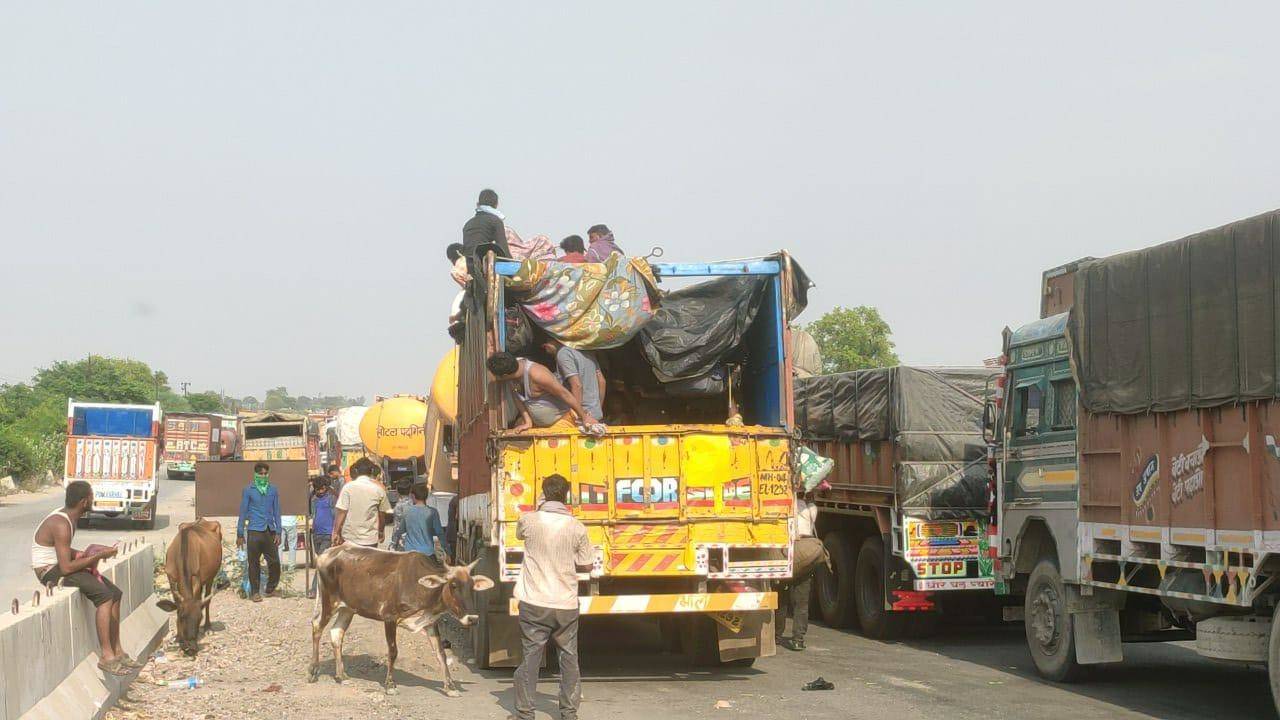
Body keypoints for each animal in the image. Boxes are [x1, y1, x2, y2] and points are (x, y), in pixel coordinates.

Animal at [155, 517, 224, 653]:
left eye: (199, 618)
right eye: (182, 616)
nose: (191, 647)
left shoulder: (197, 578)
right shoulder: (170, 576)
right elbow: (176, 602)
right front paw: (177, 636)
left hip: (212, 575)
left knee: (207, 599)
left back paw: (208, 628)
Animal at [307, 545, 491, 691]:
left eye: (472, 587)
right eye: (453, 585)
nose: (473, 618)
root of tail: (328, 552)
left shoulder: (430, 622)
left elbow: (441, 653)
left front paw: (450, 686)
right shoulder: (389, 617)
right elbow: (393, 651)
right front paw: (390, 684)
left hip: (348, 608)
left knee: (336, 633)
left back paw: (342, 675)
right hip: (329, 602)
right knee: (317, 626)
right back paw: (313, 671)